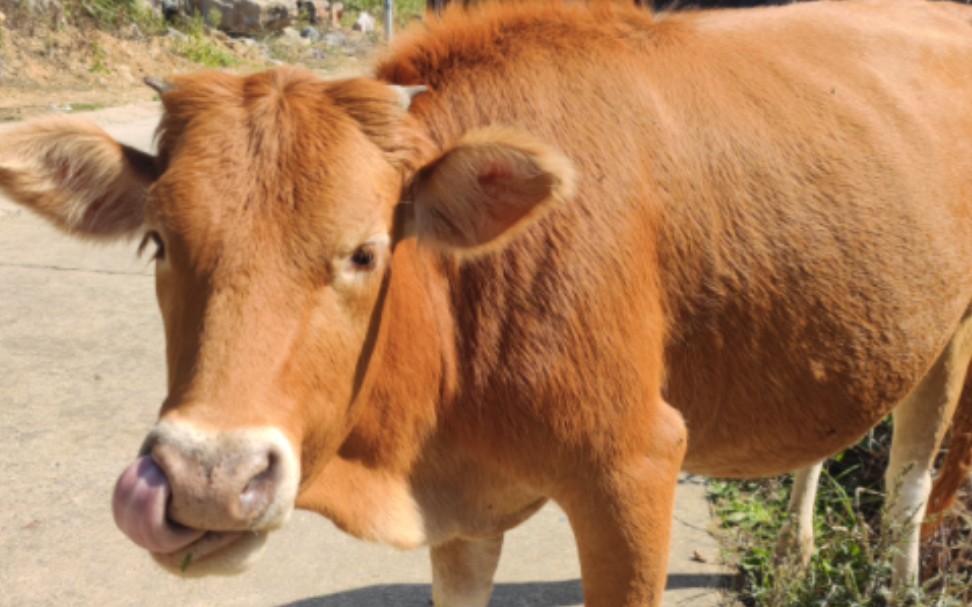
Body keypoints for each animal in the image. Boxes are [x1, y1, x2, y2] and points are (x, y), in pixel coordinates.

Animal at [1, 1, 972, 607]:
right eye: (159, 243)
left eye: (366, 250)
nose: (208, 478)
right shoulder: (461, 515)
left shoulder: (635, 467)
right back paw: (799, 551)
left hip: (953, 334)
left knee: (910, 472)